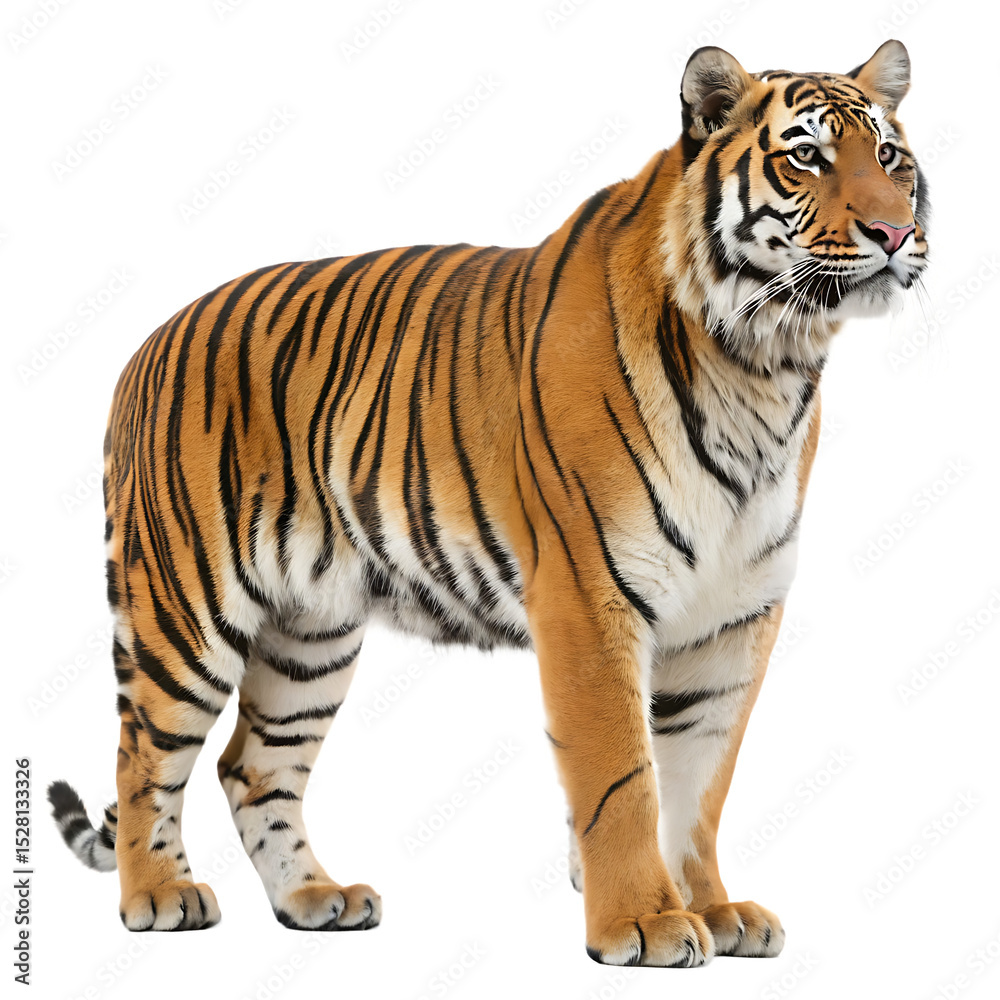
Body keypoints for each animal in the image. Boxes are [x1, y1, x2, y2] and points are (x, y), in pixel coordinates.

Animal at [48, 40, 927, 966]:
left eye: (889, 158)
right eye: (807, 158)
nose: (896, 232)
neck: (765, 362)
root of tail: (146, 346)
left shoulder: (734, 617)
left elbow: (699, 785)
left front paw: (714, 911)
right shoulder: (589, 598)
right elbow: (623, 778)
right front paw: (644, 922)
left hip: (309, 635)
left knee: (252, 766)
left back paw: (316, 898)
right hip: (184, 609)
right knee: (143, 758)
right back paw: (160, 895)